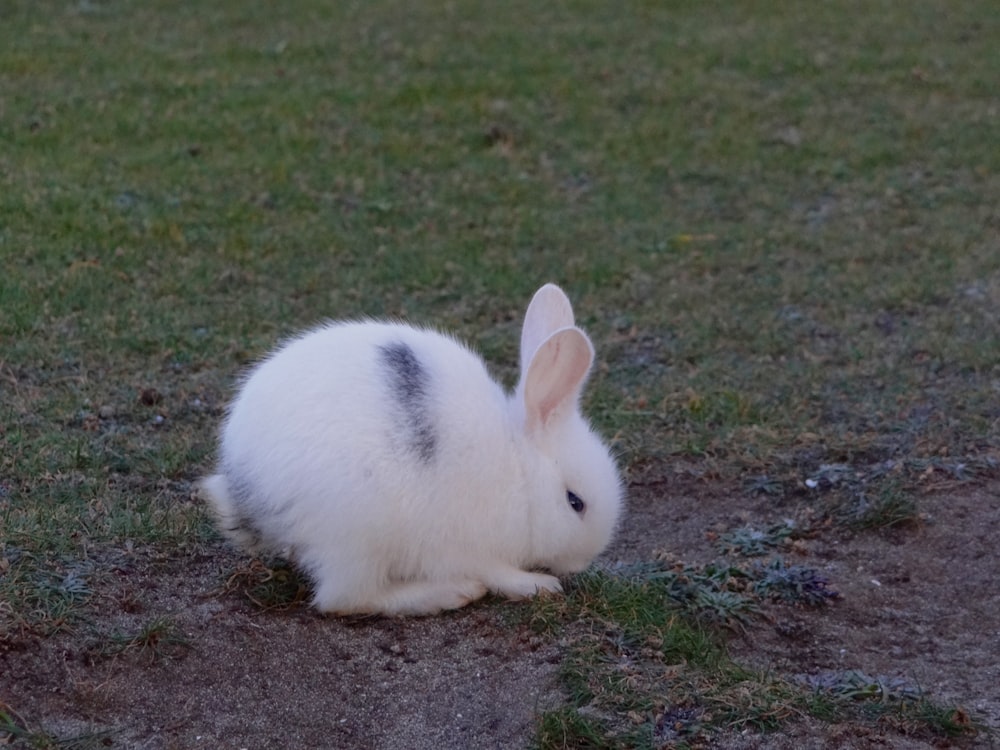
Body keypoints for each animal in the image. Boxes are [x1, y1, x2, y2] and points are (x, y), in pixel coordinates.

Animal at [199, 282, 620, 616]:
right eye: (575, 502)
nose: (581, 563)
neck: (519, 468)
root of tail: (243, 490)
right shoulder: (469, 546)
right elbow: (498, 573)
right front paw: (539, 586)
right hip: (355, 536)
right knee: (345, 599)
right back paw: (449, 593)